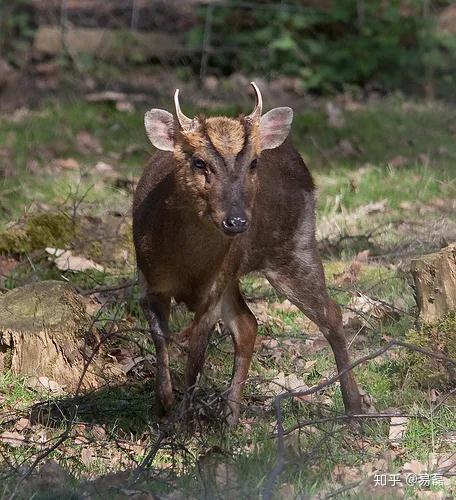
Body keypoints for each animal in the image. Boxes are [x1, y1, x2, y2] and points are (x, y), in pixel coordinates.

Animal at [133, 82, 364, 426]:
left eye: (253, 163)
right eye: (198, 162)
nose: (237, 221)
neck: (186, 266)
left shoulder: (212, 291)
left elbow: (195, 358)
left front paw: (181, 424)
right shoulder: (149, 280)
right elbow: (161, 342)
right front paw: (162, 407)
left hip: (295, 247)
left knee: (331, 314)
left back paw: (355, 408)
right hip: (237, 270)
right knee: (248, 324)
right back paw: (230, 417)